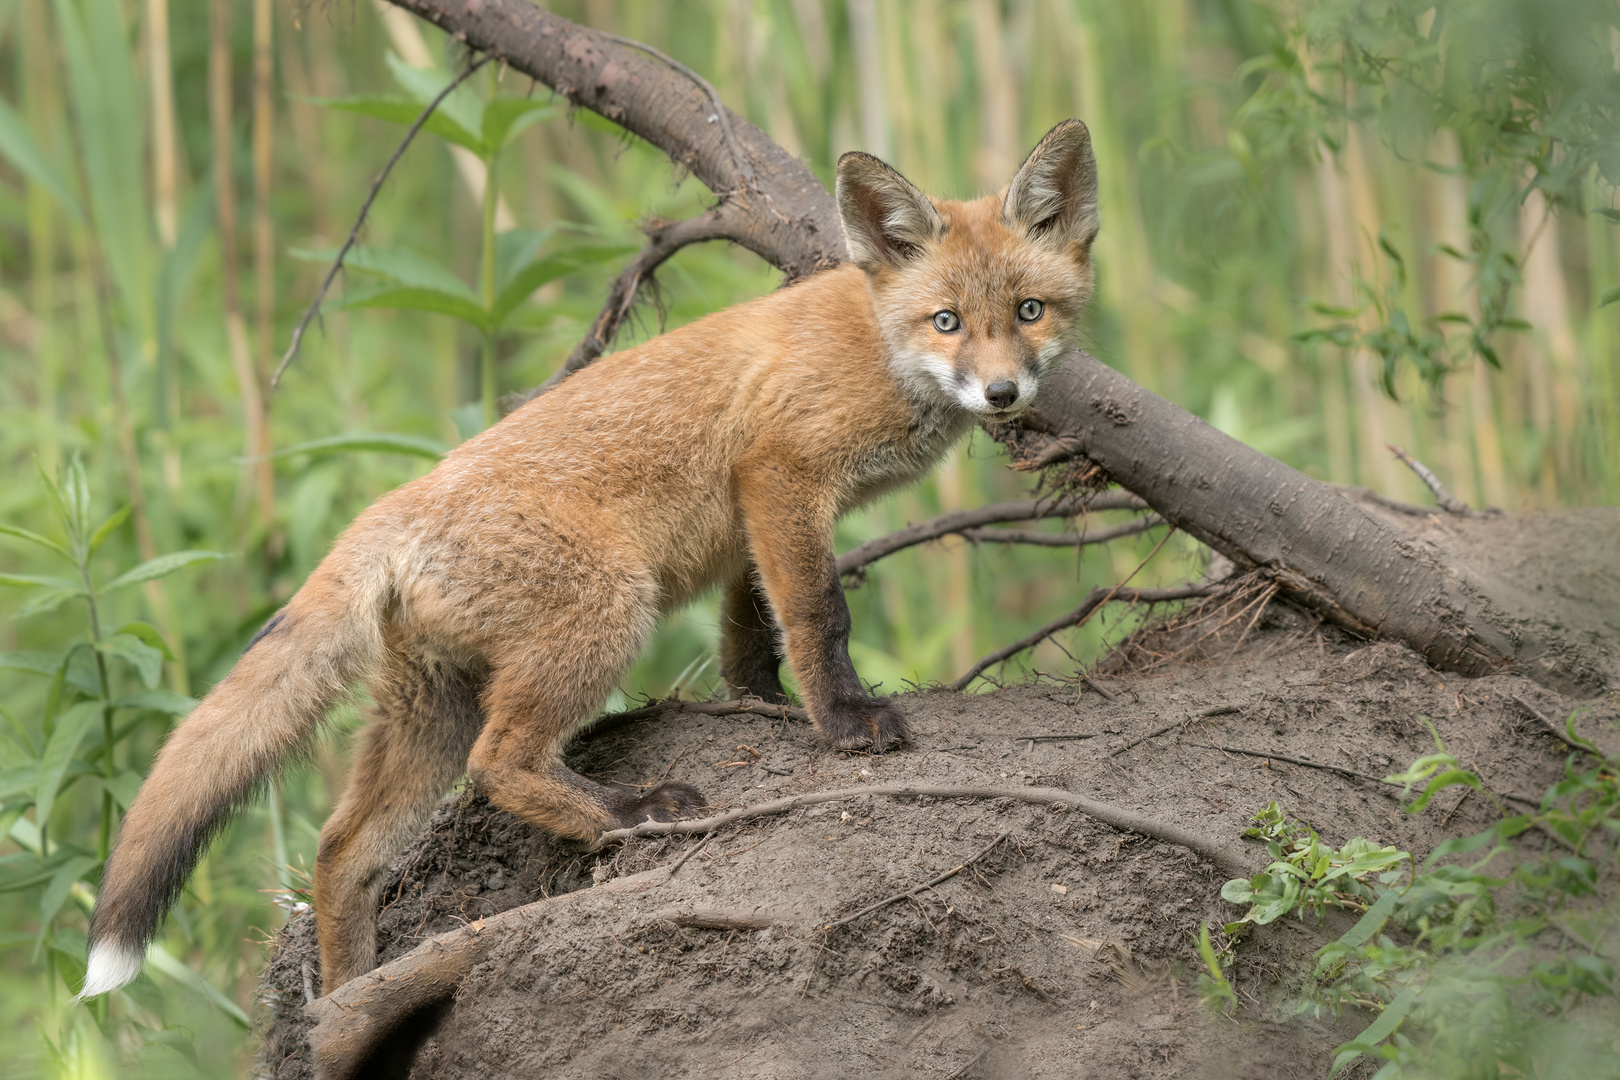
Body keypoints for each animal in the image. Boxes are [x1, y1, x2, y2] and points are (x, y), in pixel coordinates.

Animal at [85, 118, 1101, 997]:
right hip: (607, 611)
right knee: (498, 766)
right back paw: (629, 815)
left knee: (346, 850)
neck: (877, 346)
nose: (1004, 394)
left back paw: (347, 1001)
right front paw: (844, 720)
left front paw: (760, 705)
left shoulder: (753, 516)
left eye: (1029, 311)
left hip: (433, 705)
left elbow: (750, 628)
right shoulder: (781, 473)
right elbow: (819, 613)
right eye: (947, 322)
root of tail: (390, 509)